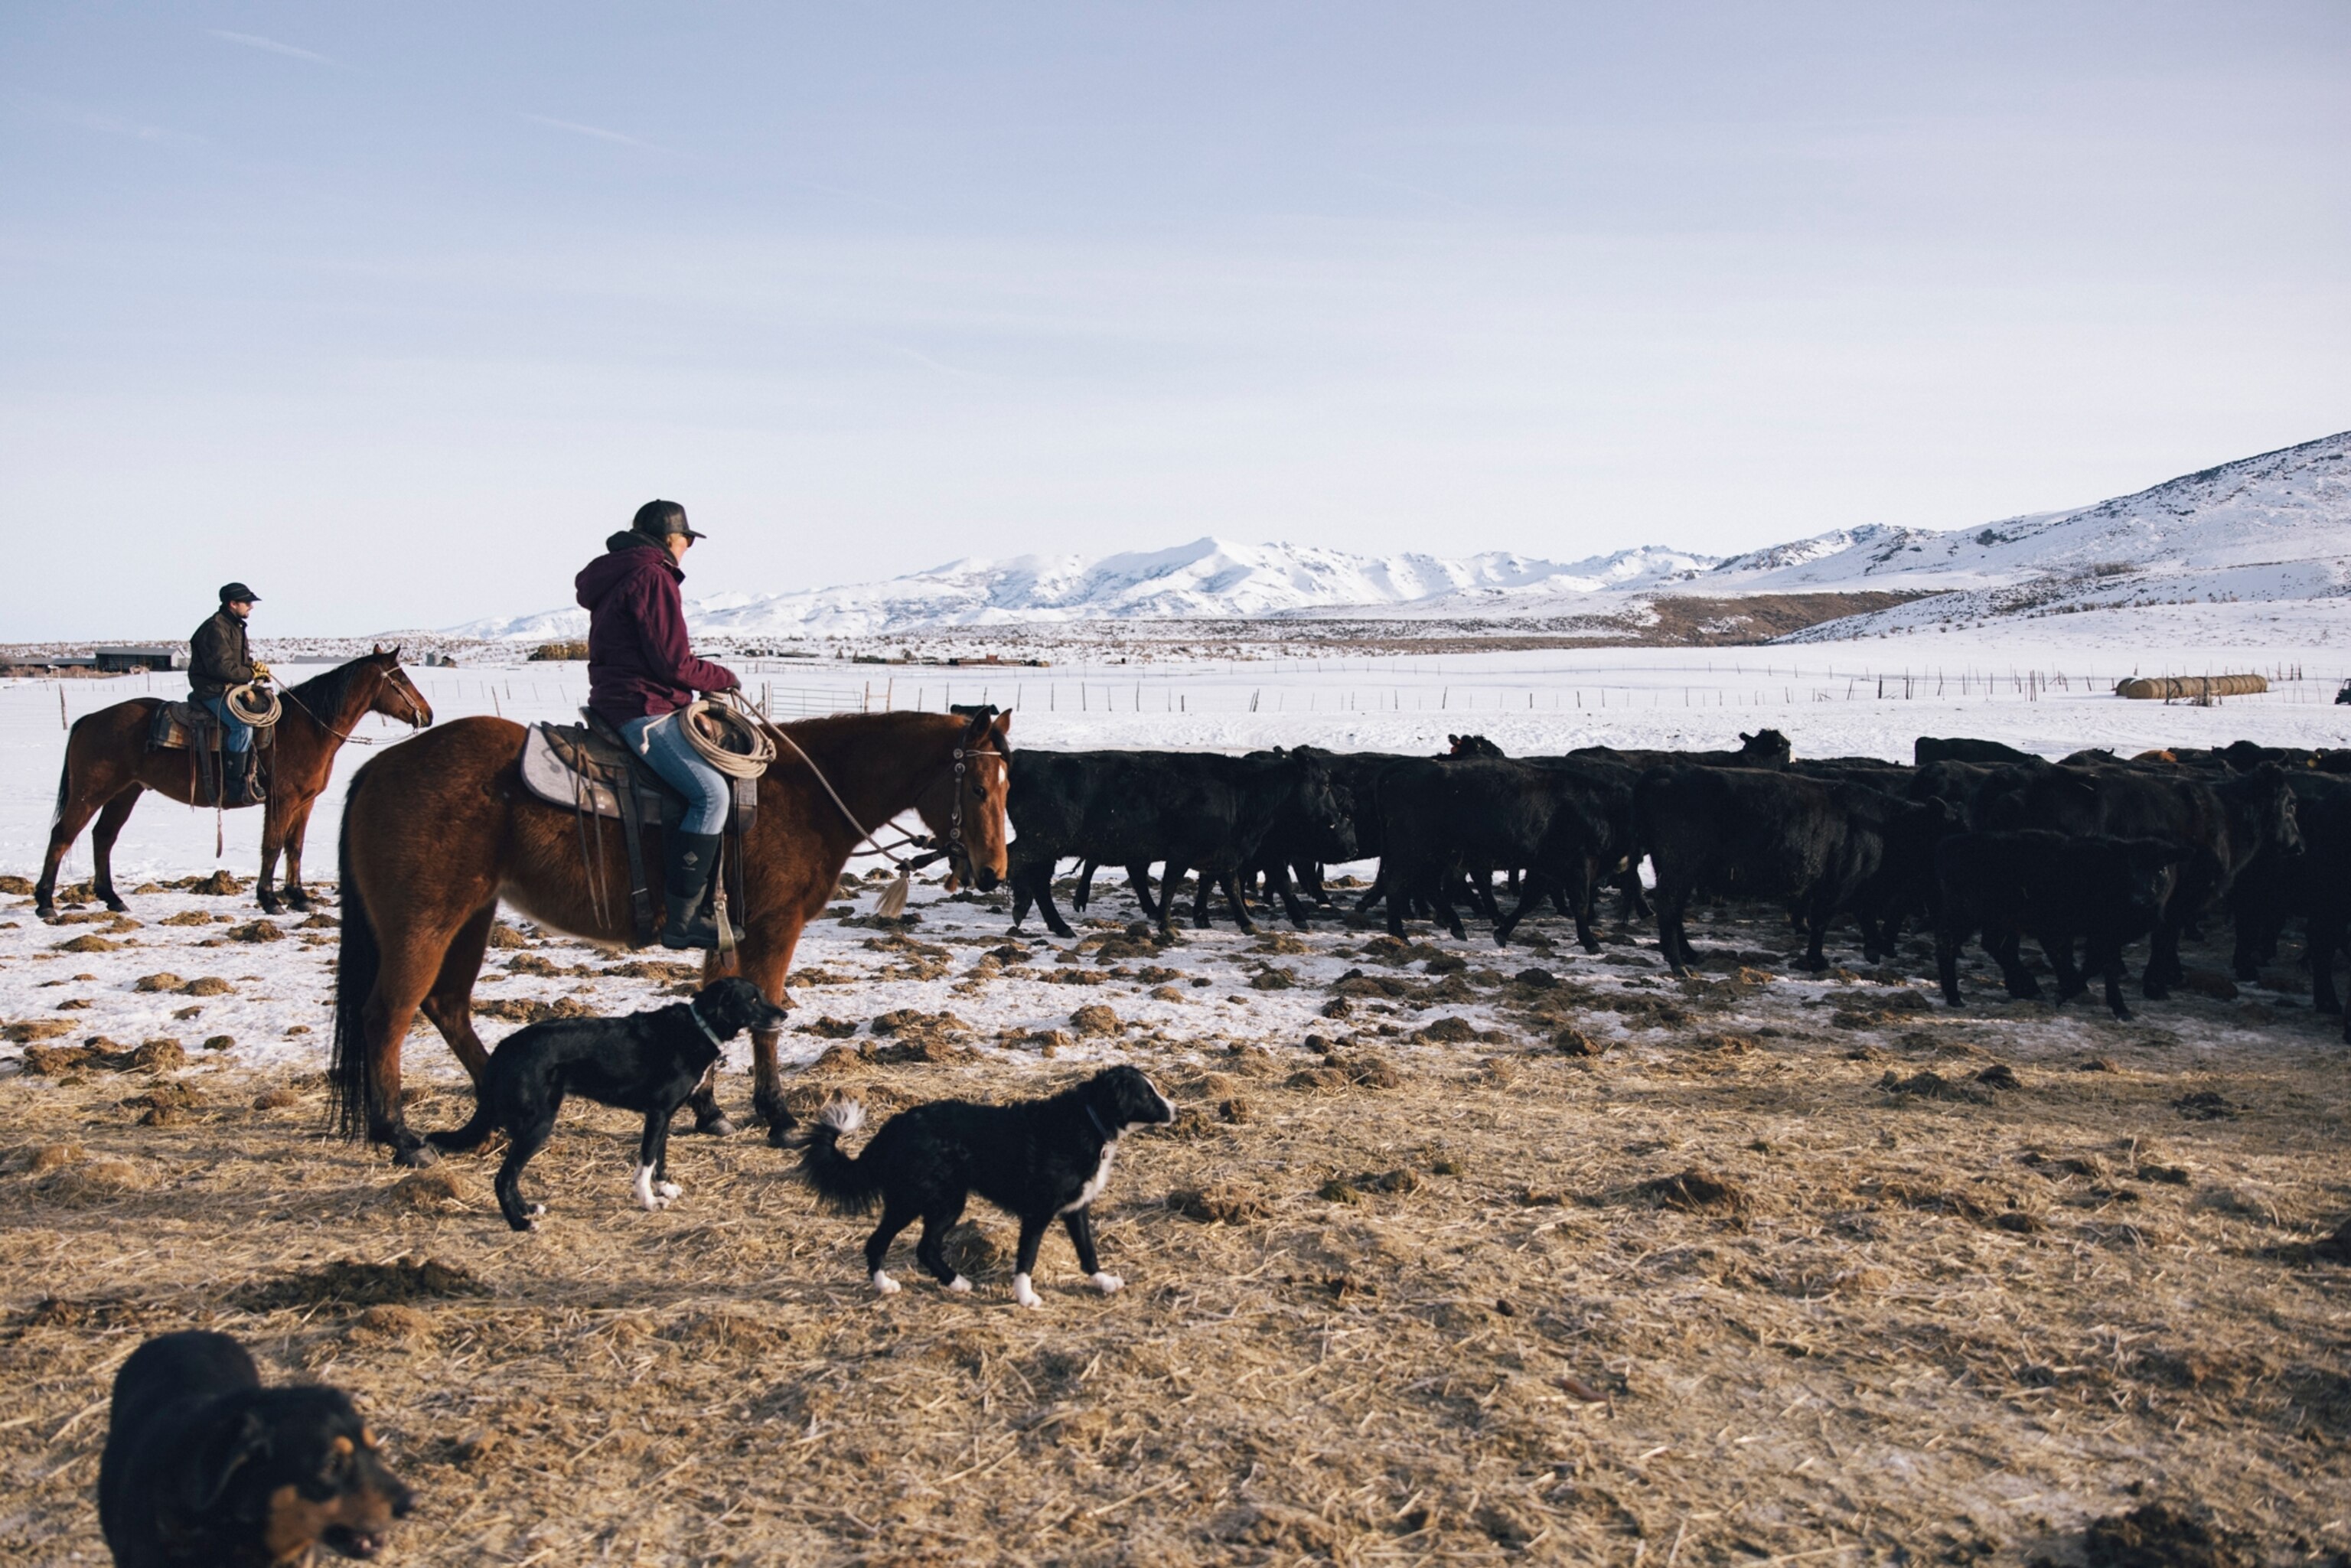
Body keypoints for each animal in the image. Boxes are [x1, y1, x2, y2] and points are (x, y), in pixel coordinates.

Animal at [35, 648, 434, 920]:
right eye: (401, 679)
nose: (428, 715)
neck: (306, 727)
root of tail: (90, 719)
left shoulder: (304, 802)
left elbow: (295, 847)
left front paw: (299, 896)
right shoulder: (281, 800)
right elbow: (272, 846)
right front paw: (270, 900)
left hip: (125, 792)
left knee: (103, 836)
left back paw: (113, 898)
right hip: (91, 792)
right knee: (62, 835)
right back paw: (46, 904)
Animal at [327, 707, 1012, 1165]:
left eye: (1009, 787)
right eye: (979, 787)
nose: (993, 873)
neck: (808, 794)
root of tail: (379, 766)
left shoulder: (725, 935)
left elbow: (718, 1009)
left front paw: (709, 1111)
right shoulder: (774, 927)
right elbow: (766, 1021)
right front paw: (779, 1117)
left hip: (471, 917)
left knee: (447, 1006)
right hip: (424, 924)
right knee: (389, 1014)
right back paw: (401, 1137)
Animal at [1932, 830, 2185, 1020]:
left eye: (2161, 868)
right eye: (2130, 868)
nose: (2141, 899)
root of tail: (1949, 845)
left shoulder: (2106, 935)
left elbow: (2095, 965)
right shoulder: (2102, 933)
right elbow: (2101, 966)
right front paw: (2117, 1008)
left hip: (1999, 920)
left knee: (1994, 946)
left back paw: (2029, 988)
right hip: (1965, 913)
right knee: (1948, 945)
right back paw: (1954, 997)